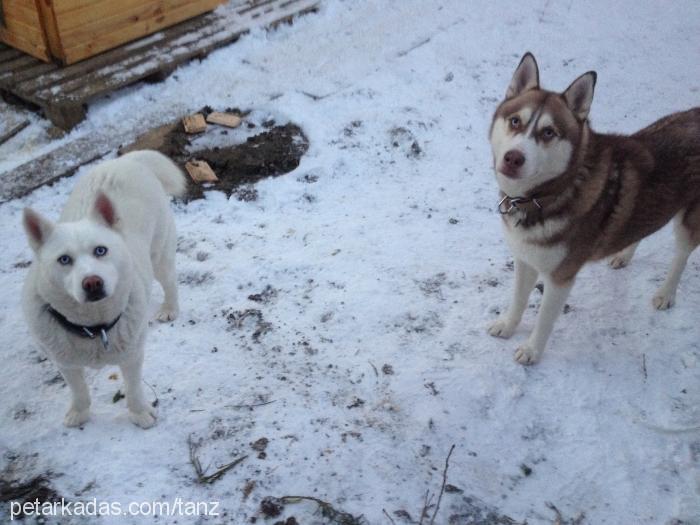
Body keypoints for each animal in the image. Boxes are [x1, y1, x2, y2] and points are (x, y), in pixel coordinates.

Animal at [21, 149, 185, 428]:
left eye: (101, 250)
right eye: (64, 259)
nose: (92, 282)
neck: (94, 328)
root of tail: (126, 160)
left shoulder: (132, 355)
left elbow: (133, 387)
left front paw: (139, 412)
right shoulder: (65, 363)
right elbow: (78, 390)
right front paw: (79, 412)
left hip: (160, 255)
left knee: (170, 281)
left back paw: (169, 308)